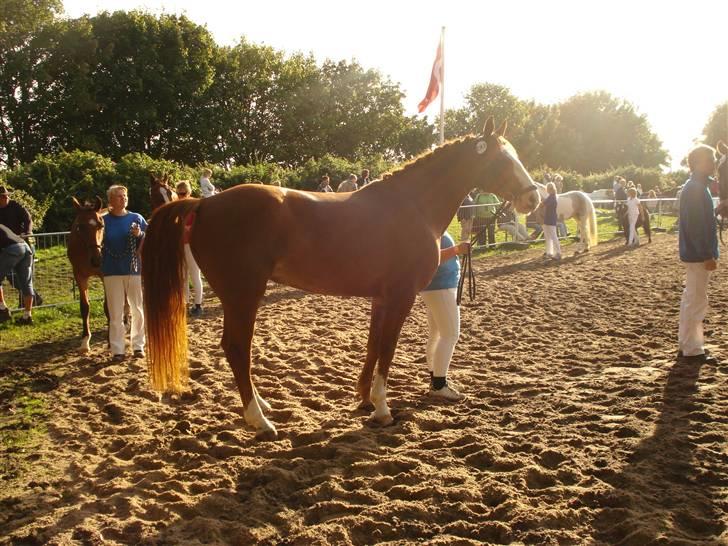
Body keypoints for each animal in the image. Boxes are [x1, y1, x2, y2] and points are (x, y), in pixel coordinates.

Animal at [142, 118, 540, 438]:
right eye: (502, 160)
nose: (532, 198)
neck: (412, 206)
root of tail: (204, 203)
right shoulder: (401, 296)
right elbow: (388, 349)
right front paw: (382, 409)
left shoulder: (382, 298)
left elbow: (373, 347)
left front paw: (363, 400)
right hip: (243, 295)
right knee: (237, 348)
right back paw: (259, 420)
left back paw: (262, 406)